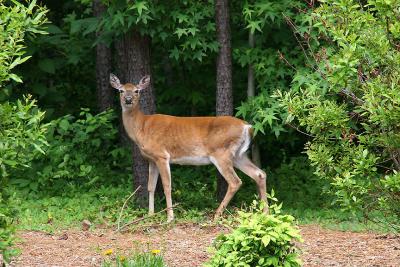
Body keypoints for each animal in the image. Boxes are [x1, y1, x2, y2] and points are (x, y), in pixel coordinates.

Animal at [109, 74, 268, 223]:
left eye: (137, 90)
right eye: (121, 90)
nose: (128, 99)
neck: (142, 127)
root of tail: (247, 126)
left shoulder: (162, 155)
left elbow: (167, 185)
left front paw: (170, 217)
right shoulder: (151, 159)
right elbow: (150, 186)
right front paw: (150, 215)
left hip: (221, 153)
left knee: (235, 182)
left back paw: (216, 215)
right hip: (238, 155)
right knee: (259, 174)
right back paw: (266, 213)